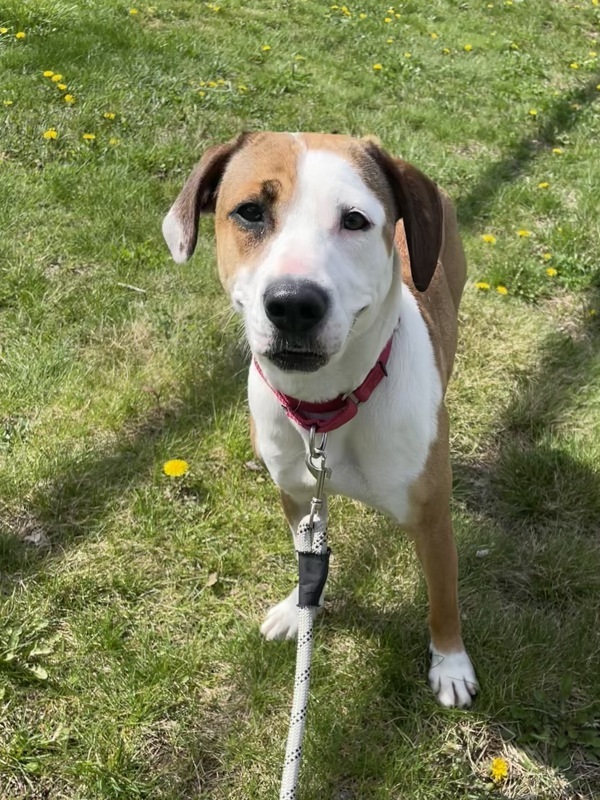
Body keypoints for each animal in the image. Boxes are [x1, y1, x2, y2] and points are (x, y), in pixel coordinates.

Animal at [163, 131, 478, 708]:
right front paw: (298, 608)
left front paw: (450, 664)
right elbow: (305, 560)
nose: (292, 304)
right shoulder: (295, 494)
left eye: (354, 220)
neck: (326, 412)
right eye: (249, 211)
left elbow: (443, 597)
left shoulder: (431, 519)